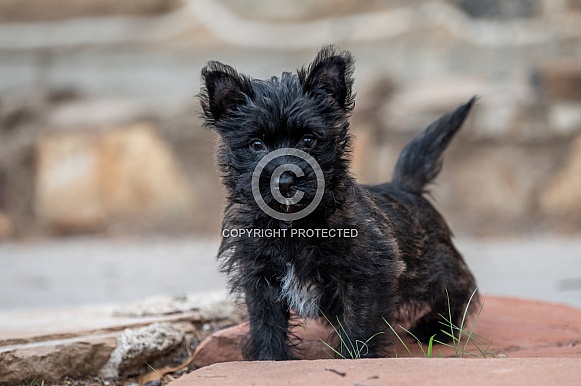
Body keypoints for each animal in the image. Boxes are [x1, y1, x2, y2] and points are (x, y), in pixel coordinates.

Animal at [198, 46, 476, 360]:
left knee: (458, 287)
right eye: (256, 144)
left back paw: (436, 328)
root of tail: (404, 186)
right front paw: (270, 358)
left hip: (433, 266)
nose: (285, 180)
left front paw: (356, 356)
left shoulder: (366, 274)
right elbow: (265, 320)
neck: (292, 224)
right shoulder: (260, 277)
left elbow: (359, 321)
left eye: (308, 140)